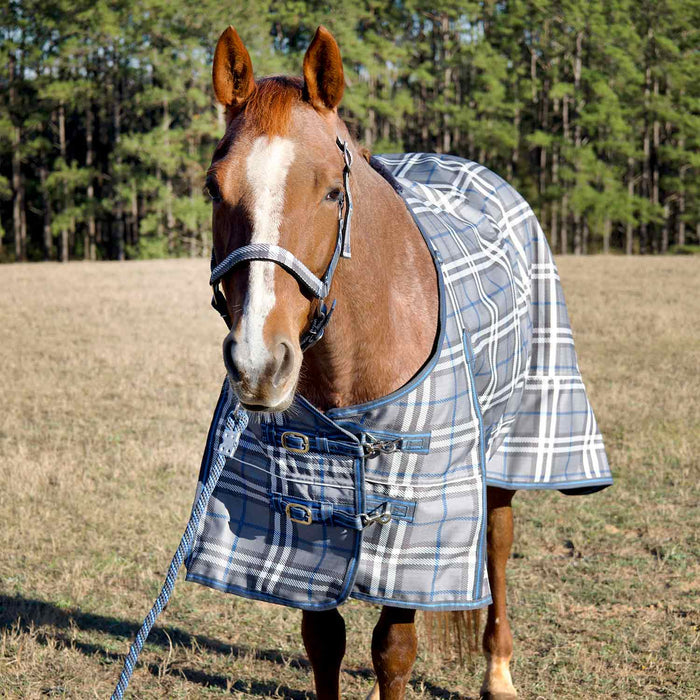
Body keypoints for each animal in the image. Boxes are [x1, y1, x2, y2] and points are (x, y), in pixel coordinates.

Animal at [199, 24, 611, 700]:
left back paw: (498, 672)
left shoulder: (421, 516)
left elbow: (394, 649)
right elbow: (323, 641)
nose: (259, 363)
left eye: (332, 191)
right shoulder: (307, 521)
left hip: (507, 449)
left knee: (498, 550)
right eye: (214, 186)